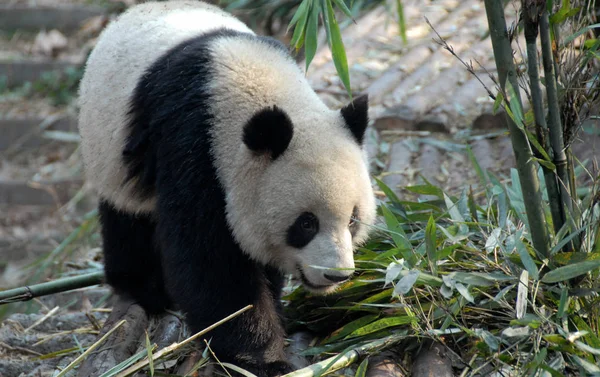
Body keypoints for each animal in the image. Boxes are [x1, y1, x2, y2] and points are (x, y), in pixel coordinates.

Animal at [75, 1, 376, 374]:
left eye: (353, 219)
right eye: (306, 223)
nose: (335, 275)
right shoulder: (193, 147)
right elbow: (210, 262)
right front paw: (262, 358)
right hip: (108, 149)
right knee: (127, 218)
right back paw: (143, 288)